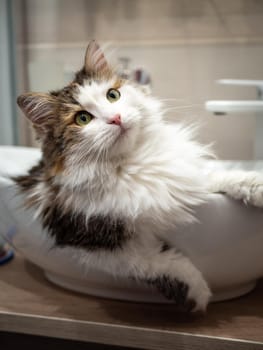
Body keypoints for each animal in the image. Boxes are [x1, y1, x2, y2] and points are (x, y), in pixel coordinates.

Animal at [14, 40, 263, 312]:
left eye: (112, 95)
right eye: (83, 118)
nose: (116, 118)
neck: (133, 163)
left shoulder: (183, 177)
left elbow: (217, 177)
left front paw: (255, 185)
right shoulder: (84, 237)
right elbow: (152, 262)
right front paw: (196, 294)